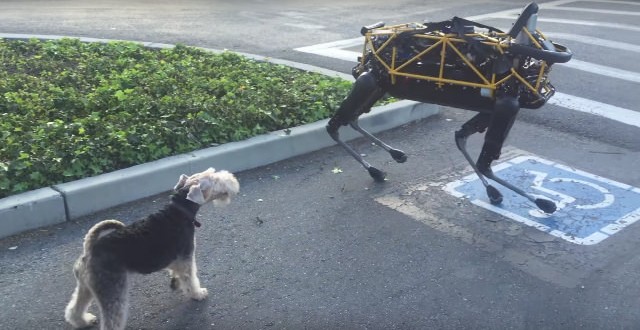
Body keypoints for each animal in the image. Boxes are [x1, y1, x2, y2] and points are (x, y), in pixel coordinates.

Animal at [65, 169, 240, 328]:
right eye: (214, 180)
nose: (232, 179)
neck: (179, 211)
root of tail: (89, 249)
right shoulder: (186, 258)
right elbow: (190, 279)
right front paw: (198, 294)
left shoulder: (175, 258)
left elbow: (176, 272)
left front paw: (175, 282)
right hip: (112, 291)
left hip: (86, 286)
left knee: (74, 308)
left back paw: (83, 321)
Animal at [328, 1, 572, 214]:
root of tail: (371, 42)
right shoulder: (507, 105)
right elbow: (484, 163)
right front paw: (539, 201)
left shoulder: (498, 107)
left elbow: (464, 140)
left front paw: (496, 192)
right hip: (370, 81)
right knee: (335, 125)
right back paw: (375, 169)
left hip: (379, 87)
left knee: (352, 118)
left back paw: (392, 156)